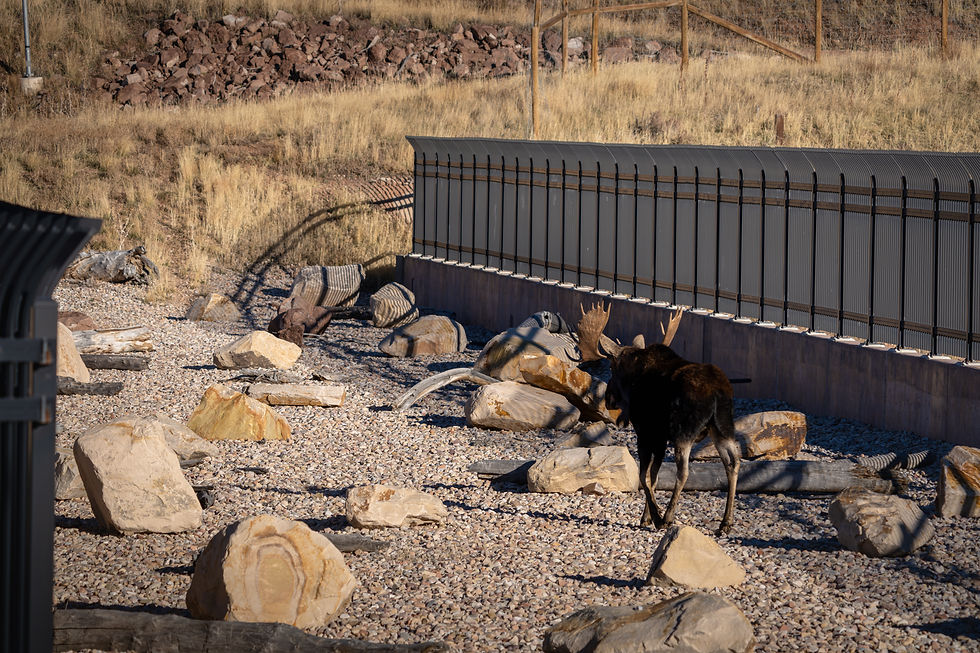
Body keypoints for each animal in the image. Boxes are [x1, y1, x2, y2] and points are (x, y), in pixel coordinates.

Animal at [576, 303, 741, 535]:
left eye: (612, 368)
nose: (608, 399)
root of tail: (718, 394)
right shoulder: (660, 437)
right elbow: (653, 477)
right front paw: (645, 517)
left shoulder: (646, 431)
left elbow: (644, 476)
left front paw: (654, 516)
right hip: (723, 428)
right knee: (733, 462)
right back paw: (726, 522)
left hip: (684, 431)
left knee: (684, 471)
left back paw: (668, 517)